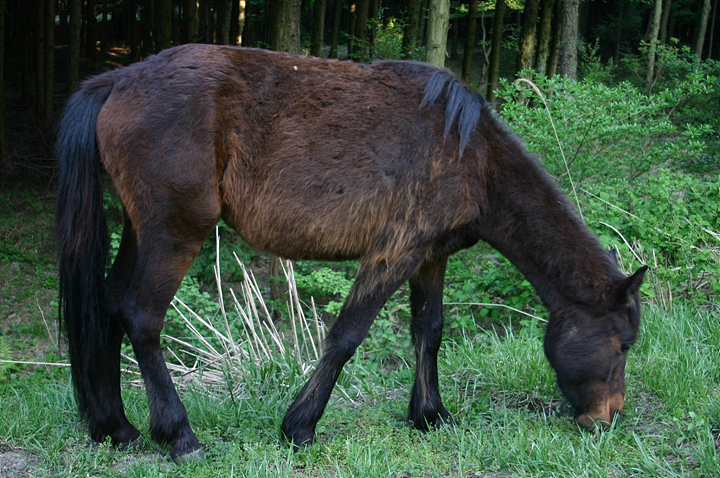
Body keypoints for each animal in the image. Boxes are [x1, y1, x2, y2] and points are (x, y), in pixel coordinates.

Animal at [54, 44, 648, 460]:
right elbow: (346, 336)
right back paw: (179, 437)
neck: (470, 155)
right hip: (174, 232)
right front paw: (300, 426)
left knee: (108, 307)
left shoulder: (430, 256)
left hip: (143, 232)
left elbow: (428, 331)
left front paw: (429, 415)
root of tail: (117, 80)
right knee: (142, 318)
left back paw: (116, 427)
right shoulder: (394, 253)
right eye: (622, 345)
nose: (608, 419)